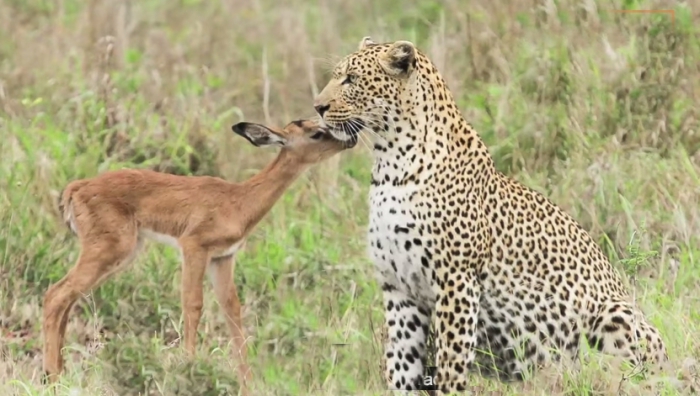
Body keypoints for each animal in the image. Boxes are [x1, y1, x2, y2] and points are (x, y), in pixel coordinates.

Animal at [312, 36, 668, 392]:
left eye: (351, 80)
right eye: (337, 76)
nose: (318, 107)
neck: (389, 163)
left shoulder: (456, 280)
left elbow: (451, 362)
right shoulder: (399, 288)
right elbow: (401, 364)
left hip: (615, 315)